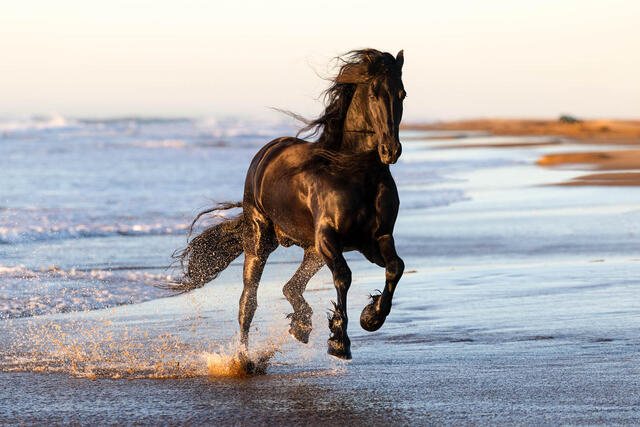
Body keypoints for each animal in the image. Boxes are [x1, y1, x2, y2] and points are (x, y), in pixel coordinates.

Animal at [172, 49, 406, 361]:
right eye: (374, 94)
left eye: (402, 93)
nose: (391, 151)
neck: (355, 173)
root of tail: (266, 153)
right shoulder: (329, 237)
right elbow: (343, 277)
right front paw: (339, 342)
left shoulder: (375, 239)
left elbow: (395, 267)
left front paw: (371, 317)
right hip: (261, 240)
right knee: (248, 301)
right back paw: (243, 359)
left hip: (313, 250)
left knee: (290, 287)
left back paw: (302, 325)